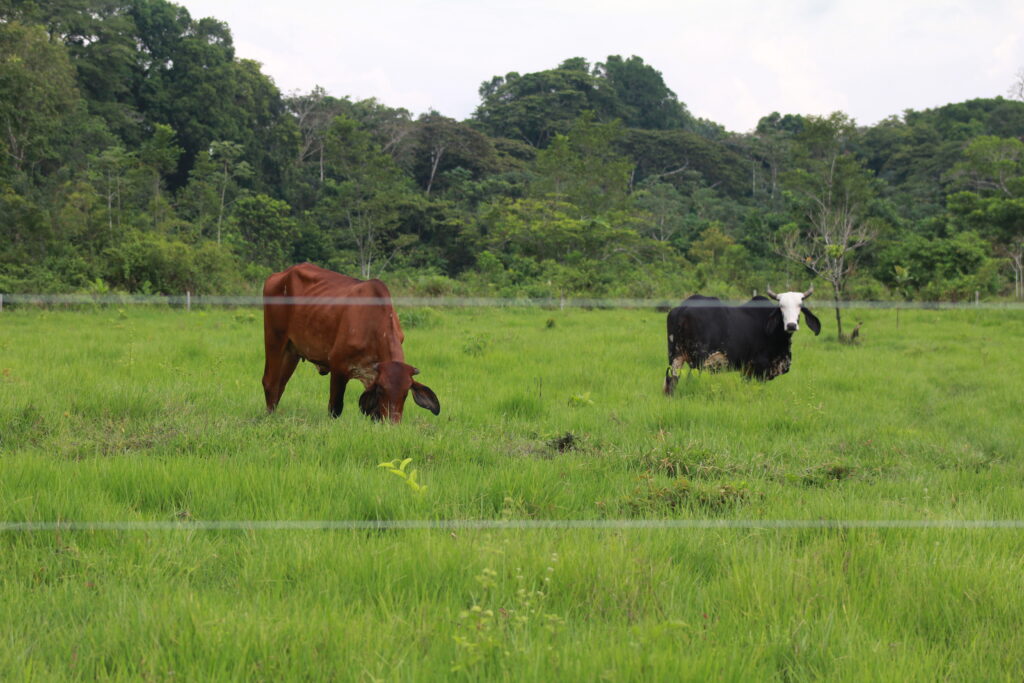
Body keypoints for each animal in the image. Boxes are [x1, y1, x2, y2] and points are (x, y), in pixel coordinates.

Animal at [260, 264, 440, 419]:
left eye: (405, 393)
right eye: (381, 391)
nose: (392, 422)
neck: (372, 323)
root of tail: (280, 275)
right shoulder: (338, 367)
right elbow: (335, 408)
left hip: (292, 351)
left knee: (280, 385)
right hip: (274, 339)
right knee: (270, 382)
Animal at [663, 288, 823, 395]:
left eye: (799, 306)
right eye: (781, 306)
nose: (791, 325)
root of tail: (683, 308)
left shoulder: (747, 369)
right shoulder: (760, 367)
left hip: (675, 357)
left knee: (672, 380)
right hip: (701, 360)